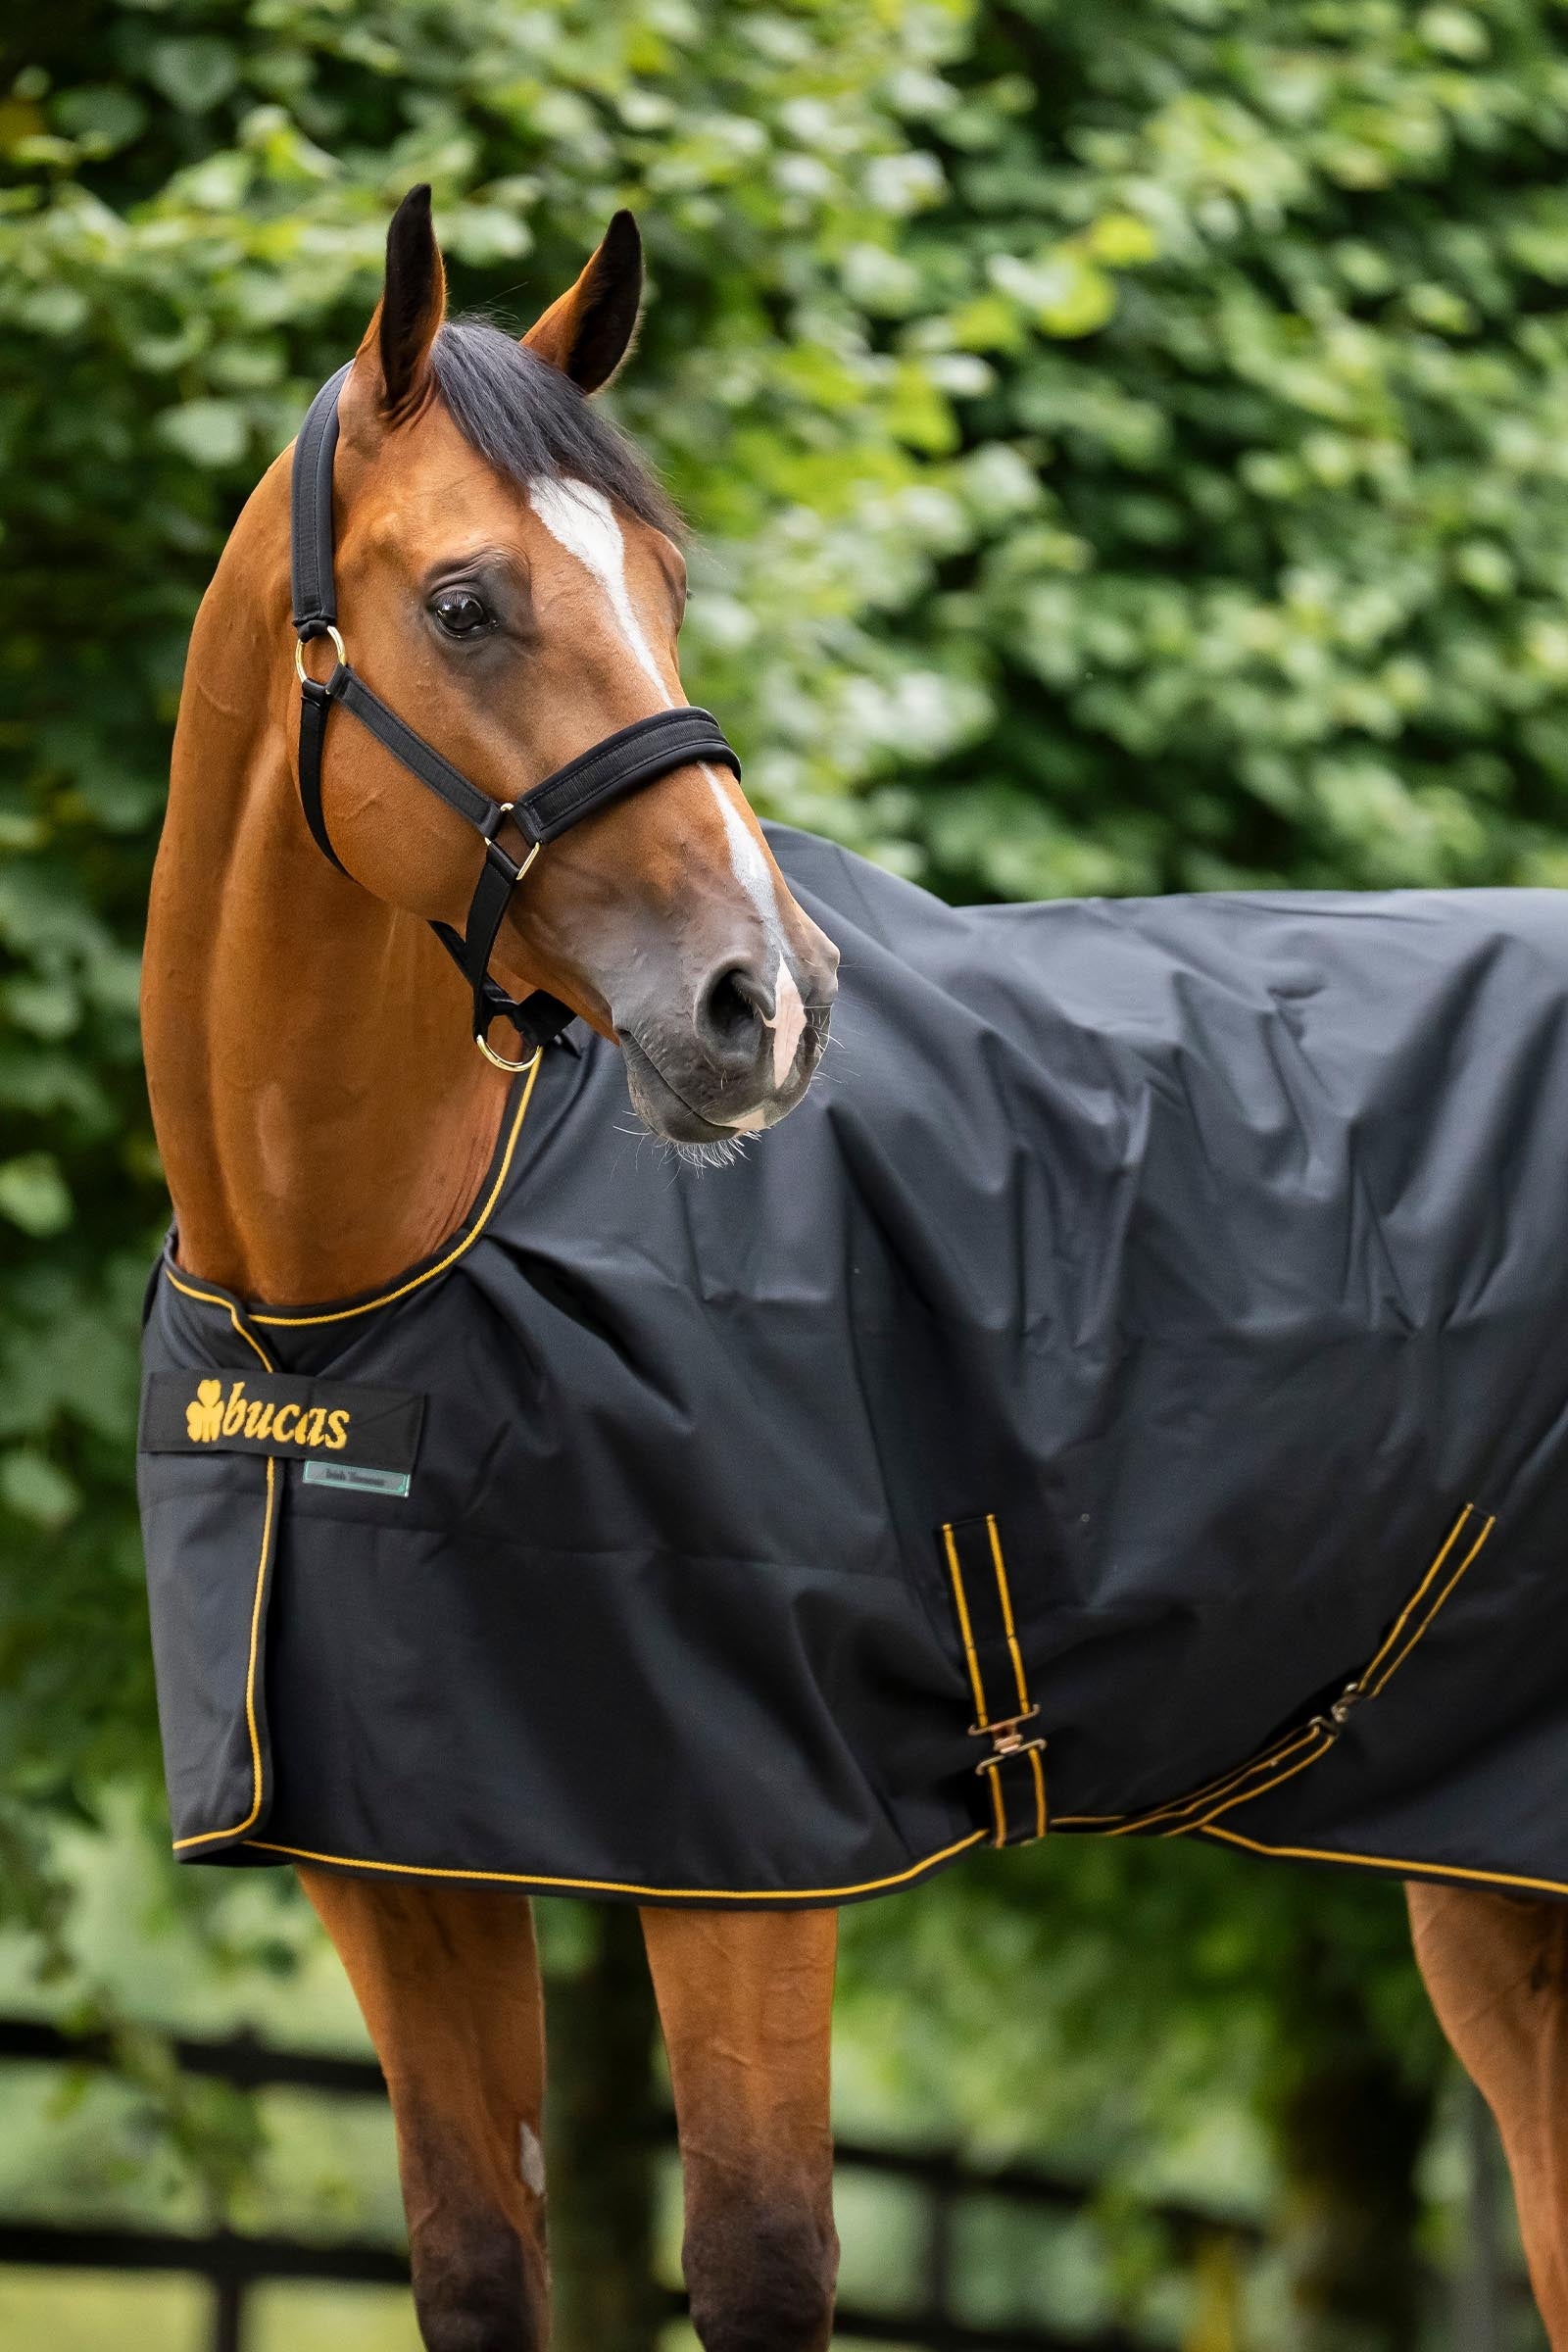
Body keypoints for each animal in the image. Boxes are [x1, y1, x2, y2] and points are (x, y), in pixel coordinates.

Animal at [139, 186, 1568, 2352]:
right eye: (466, 603)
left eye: (661, 579)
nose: (764, 1003)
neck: (358, 1298)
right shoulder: (400, 1861)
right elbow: (473, 2262)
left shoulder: (752, 1845)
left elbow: (757, 2261)